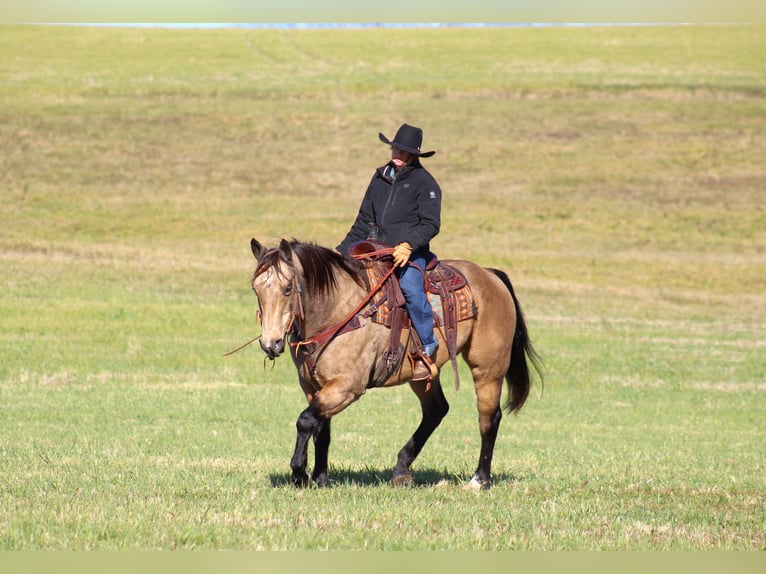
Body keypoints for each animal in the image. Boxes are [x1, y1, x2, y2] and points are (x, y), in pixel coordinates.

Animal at [249, 237, 544, 490]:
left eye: (288, 288)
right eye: (256, 289)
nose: (271, 343)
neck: (339, 312)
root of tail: (491, 275)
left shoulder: (348, 387)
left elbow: (306, 421)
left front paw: (299, 474)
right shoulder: (314, 386)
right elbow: (321, 429)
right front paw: (320, 478)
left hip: (488, 369)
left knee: (488, 418)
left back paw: (478, 480)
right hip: (423, 376)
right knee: (436, 411)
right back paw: (402, 469)